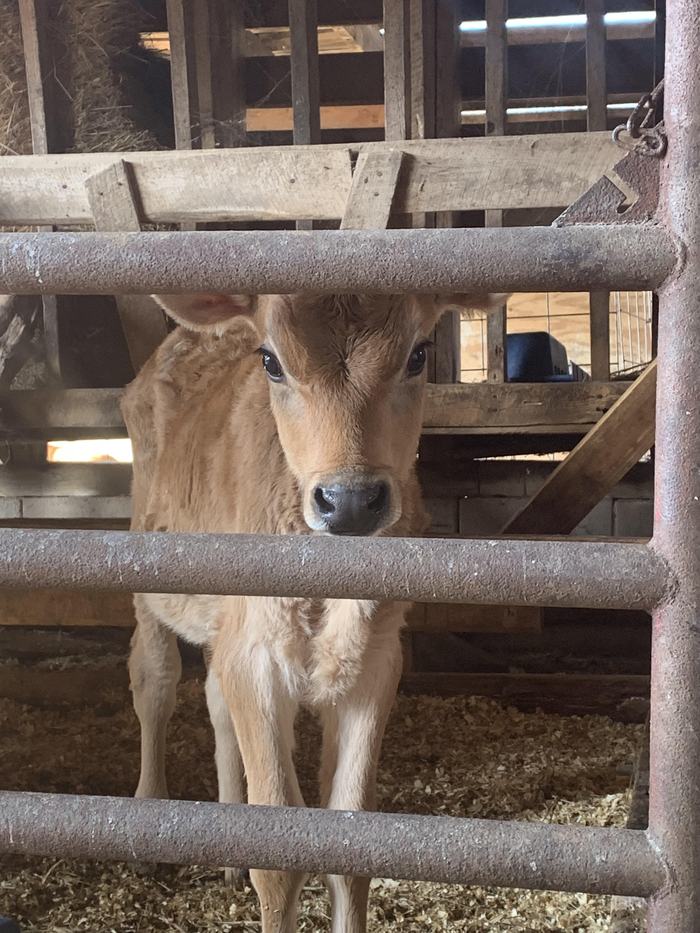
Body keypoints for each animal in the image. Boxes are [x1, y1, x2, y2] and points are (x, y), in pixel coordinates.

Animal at [122, 289, 500, 933]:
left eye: (419, 354)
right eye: (271, 362)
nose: (349, 501)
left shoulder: (376, 663)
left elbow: (349, 846)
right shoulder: (255, 657)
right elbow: (278, 859)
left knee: (215, 700)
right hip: (149, 576)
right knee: (156, 683)